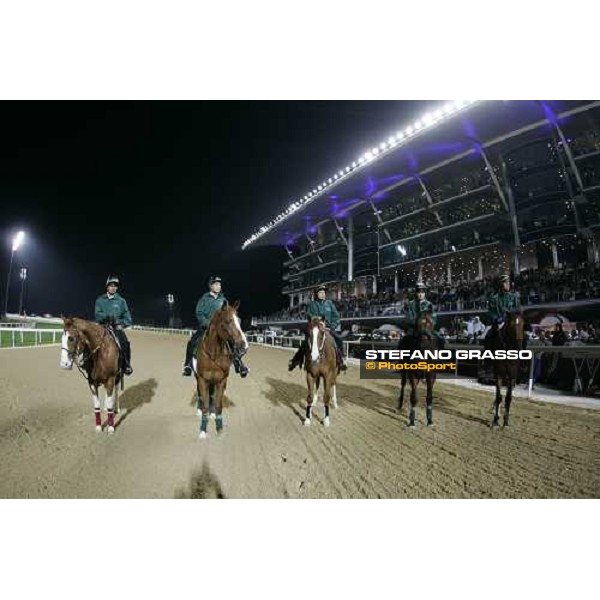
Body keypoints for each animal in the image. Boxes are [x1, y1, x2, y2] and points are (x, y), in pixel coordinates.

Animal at [195, 302, 246, 438]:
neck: (214, 355)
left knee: (212, 396)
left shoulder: (221, 380)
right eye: (228, 321)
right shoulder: (202, 380)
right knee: (200, 394)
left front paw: (219, 428)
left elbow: (218, 405)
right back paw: (198, 410)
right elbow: (205, 405)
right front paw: (203, 430)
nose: (243, 344)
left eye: (239, 320)